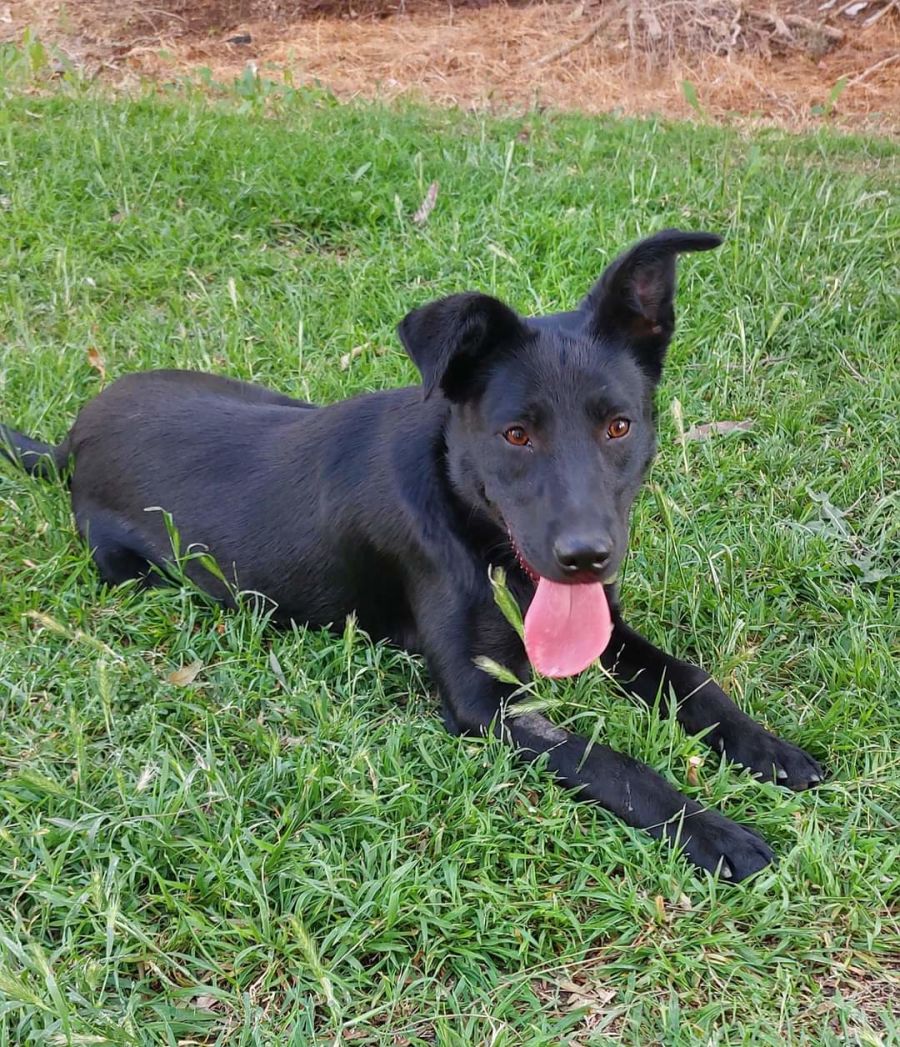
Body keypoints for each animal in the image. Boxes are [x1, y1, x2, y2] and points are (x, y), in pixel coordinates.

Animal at [1, 229, 823, 881]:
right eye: (516, 434)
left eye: (618, 426)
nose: (586, 556)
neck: (471, 520)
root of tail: (73, 438)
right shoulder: (484, 703)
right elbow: (610, 761)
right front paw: (712, 828)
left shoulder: (603, 628)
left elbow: (690, 679)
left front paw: (766, 747)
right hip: (131, 567)